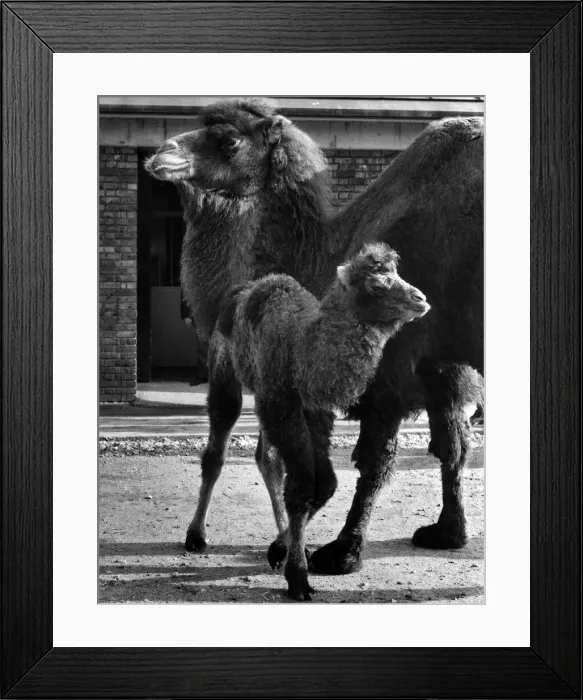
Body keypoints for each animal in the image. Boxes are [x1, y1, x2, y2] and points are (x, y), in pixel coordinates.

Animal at [145, 97, 483, 578]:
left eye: (229, 140)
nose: (161, 153)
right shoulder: (444, 364)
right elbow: (452, 447)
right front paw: (448, 534)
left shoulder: (391, 361)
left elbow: (374, 461)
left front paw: (336, 551)